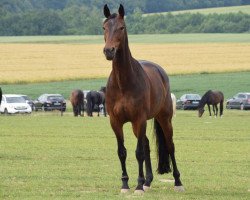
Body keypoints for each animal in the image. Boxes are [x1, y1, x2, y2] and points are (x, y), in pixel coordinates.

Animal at [102, 4, 184, 194]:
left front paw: (138, 186)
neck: (123, 83)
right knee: (146, 144)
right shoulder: (116, 122)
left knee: (170, 145)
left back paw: (177, 182)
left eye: (121, 27)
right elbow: (122, 152)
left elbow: (138, 152)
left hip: (163, 118)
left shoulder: (139, 119)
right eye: (104, 27)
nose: (109, 51)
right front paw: (125, 184)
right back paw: (148, 181)